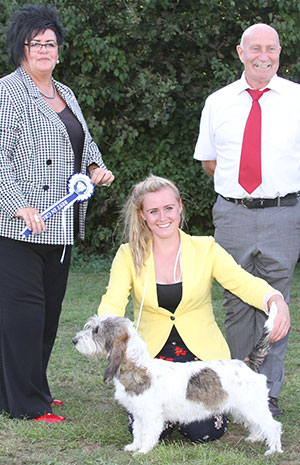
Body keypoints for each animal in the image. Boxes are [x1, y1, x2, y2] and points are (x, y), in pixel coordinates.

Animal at [72, 302, 282, 454]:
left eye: (96, 330)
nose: (74, 341)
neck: (138, 366)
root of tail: (247, 363)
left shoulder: (151, 415)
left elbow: (147, 434)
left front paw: (142, 452)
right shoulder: (138, 414)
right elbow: (138, 432)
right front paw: (133, 447)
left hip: (253, 406)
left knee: (273, 425)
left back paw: (273, 449)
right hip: (243, 408)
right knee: (257, 424)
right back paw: (255, 437)